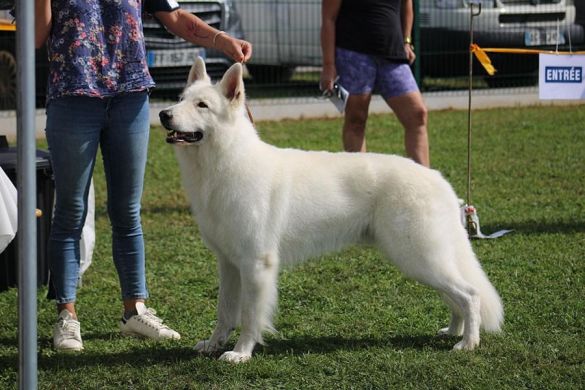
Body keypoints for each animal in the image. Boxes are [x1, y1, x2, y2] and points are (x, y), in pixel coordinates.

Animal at [159, 57, 502, 362]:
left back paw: (467, 343)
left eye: (202, 105)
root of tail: (439, 180)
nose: (163, 114)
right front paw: (214, 344)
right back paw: (454, 331)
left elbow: (249, 315)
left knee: (470, 294)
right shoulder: (229, 264)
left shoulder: (256, 264)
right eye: (181, 99)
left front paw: (241, 353)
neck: (225, 161)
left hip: (418, 258)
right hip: (424, 260)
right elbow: (224, 311)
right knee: (457, 296)